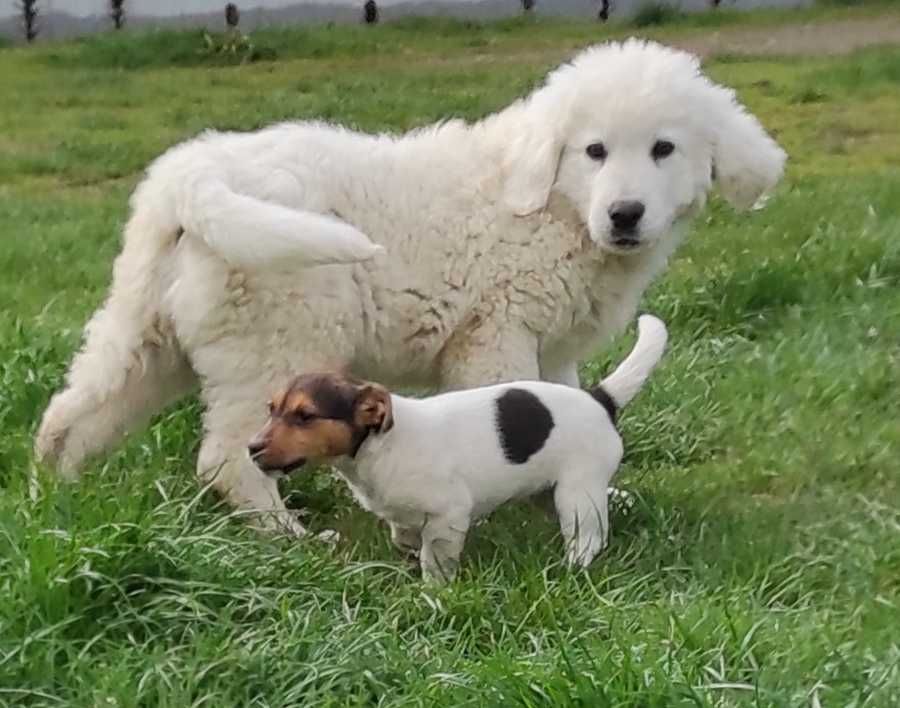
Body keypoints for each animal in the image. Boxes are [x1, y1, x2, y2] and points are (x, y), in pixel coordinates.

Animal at [35, 38, 784, 532]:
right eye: (594, 151)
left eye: (664, 149)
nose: (625, 214)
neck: (553, 206)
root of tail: (192, 178)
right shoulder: (497, 335)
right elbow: (521, 412)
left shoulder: (553, 346)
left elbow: (569, 405)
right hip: (278, 338)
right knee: (227, 454)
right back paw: (287, 538)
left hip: (149, 327)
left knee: (77, 407)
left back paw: (59, 496)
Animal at [253, 316, 668, 580]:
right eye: (271, 410)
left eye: (305, 416)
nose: (252, 448)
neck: (380, 446)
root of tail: (600, 399)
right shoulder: (401, 516)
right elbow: (403, 538)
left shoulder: (448, 515)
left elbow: (434, 558)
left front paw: (433, 590)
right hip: (549, 487)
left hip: (578, 491)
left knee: (588, 537)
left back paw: (573, 568)